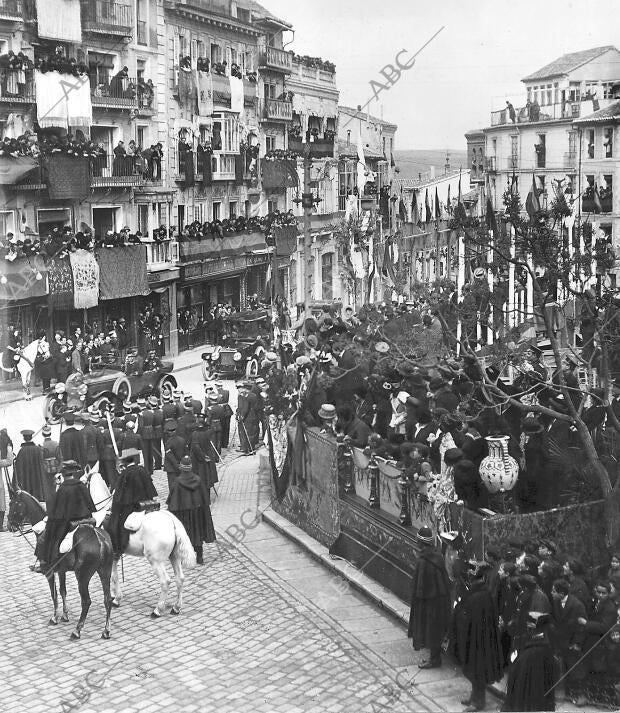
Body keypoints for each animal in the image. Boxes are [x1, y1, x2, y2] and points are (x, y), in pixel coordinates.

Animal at [7, 490, 114, 640]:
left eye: (13, 504)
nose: (10, 525)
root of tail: (101, 540)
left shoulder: (49, 572)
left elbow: (54, 594)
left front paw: (55, 617)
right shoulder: (62, 570)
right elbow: (63, 590)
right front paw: (65, 615)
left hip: (83, 577)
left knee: (86, 601)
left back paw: (77, 630)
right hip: (105, 572)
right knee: (108, 599)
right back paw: (106, 630)